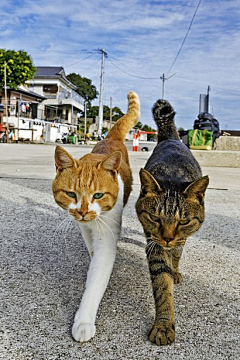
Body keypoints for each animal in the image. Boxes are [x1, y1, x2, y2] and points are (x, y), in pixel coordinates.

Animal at [51, 91, 140, 342]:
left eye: (98, 195)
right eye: (71, 194)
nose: (82, 211)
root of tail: (111, 137)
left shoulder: (106, 236)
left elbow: (97, 277)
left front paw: (84, 320)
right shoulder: (85, 229)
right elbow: (92, 254)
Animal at [136, 99, 209, 346]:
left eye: (183, 221)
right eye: (155, 217)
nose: (167, 238)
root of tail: (171, 138)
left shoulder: (177, 238)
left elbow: (174, 258)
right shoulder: (154, 245)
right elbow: (161, 284)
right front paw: (163, 324)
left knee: (178, 252)